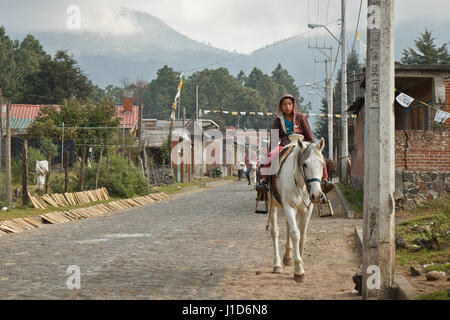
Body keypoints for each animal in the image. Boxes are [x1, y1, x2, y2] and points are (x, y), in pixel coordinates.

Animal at [266, 134, 326, 282]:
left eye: (322, 164)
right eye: (305, 164)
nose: (317, 195)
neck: (301, 183)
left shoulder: (307, 210)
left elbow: (302, 235)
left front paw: (300, 262)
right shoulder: (289, 207)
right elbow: (295, 233)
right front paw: (299, 270)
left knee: (288, 226)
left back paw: (287, 257)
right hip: (273, 205)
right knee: (275, 232)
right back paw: (277, 264)